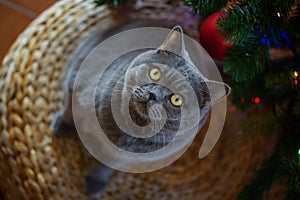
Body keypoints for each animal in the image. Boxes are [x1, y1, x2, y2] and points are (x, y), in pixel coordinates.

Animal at [51, 20, 230, 197]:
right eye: (155, 73)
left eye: (176, 100)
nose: (153, 95)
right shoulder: (78, 81)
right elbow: (69, 109)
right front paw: (61, 125)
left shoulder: (122, 158)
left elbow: (103, 166)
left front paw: (95, 183)